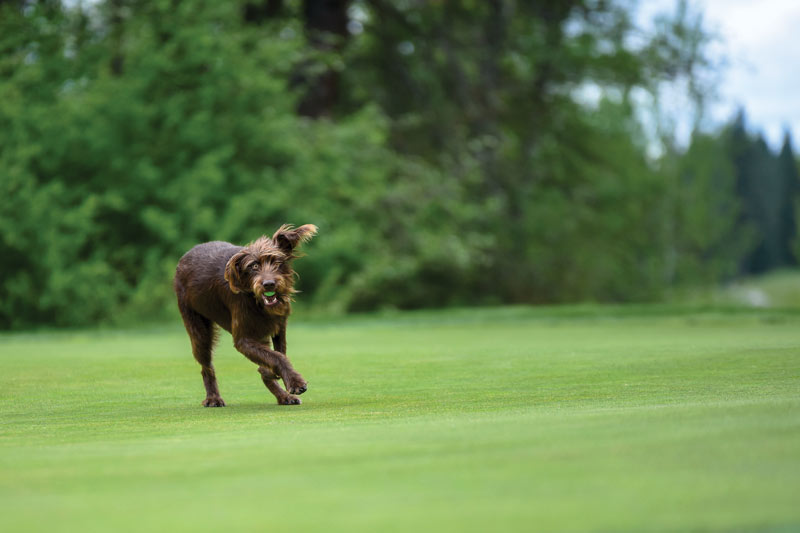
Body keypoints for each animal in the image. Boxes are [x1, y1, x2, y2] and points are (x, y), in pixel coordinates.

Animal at [173, 222, 318, 406]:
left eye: (277, 263)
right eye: (254, 266)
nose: (269, 284)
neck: (256, 301)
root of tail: (185, 256)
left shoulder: (279, 327)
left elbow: (278, 354)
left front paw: (272, 373)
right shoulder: (243, 340)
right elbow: (276, 357)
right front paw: (295, 382)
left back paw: (283, 396)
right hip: (198, 331)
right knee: (206, 367)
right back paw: (213, 398)